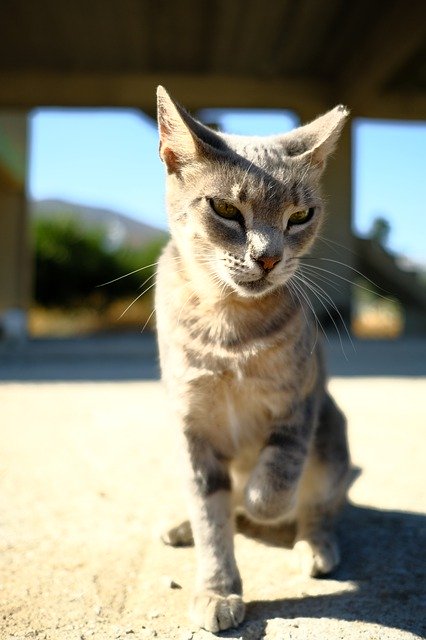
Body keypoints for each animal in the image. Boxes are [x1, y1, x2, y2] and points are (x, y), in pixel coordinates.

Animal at [155, 86, 352, 636]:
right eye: (226, 208)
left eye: (300, 216)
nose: (268, 257)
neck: (230, 329)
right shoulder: (190, 424)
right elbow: (211, 516)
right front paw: (217, 589)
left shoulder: (300, 402)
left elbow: (277, 479)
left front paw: (259, 502)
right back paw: (182, 523)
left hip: (333, 436)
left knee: (322, 504)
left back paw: (314, 544)